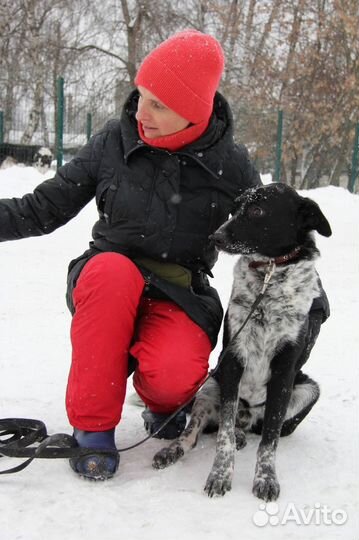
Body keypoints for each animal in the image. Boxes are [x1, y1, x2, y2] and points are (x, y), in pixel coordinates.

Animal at [152, 182, 332, 502]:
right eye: (235, 208)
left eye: (258, 210)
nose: (215, 236)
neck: (269, 274)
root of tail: (247, 416)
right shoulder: (234, 358)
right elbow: (222, 433)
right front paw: (220, 475)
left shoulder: (285, 370)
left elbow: (269, 440)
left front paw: (266, 478)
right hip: (210, 385)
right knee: (200, 430)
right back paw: (175, 449)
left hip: (307, 389)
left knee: (263, 429)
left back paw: (244, 434)